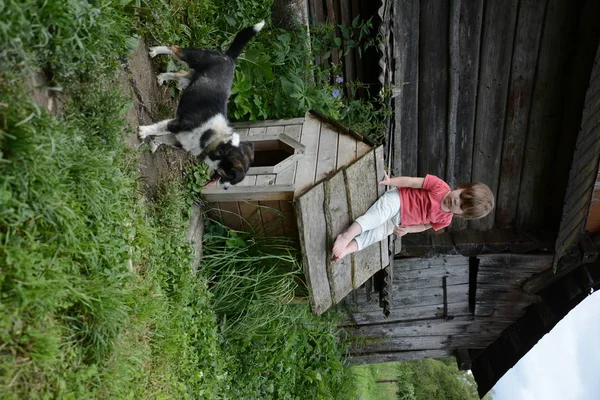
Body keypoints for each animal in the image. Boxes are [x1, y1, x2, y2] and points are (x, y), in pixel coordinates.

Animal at [139, 19, 264, 188]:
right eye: (231, 174)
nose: (225, 188)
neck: (213, 138)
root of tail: (229, 58)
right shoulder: (175, 124)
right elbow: (157, 129)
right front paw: (144, 132)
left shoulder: (178, 139)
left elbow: (161, 138)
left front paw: (153, 144)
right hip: (192, 58)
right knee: (174, 48)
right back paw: (155, 51)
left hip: (189, 79)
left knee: (179, 73)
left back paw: (162, 77)